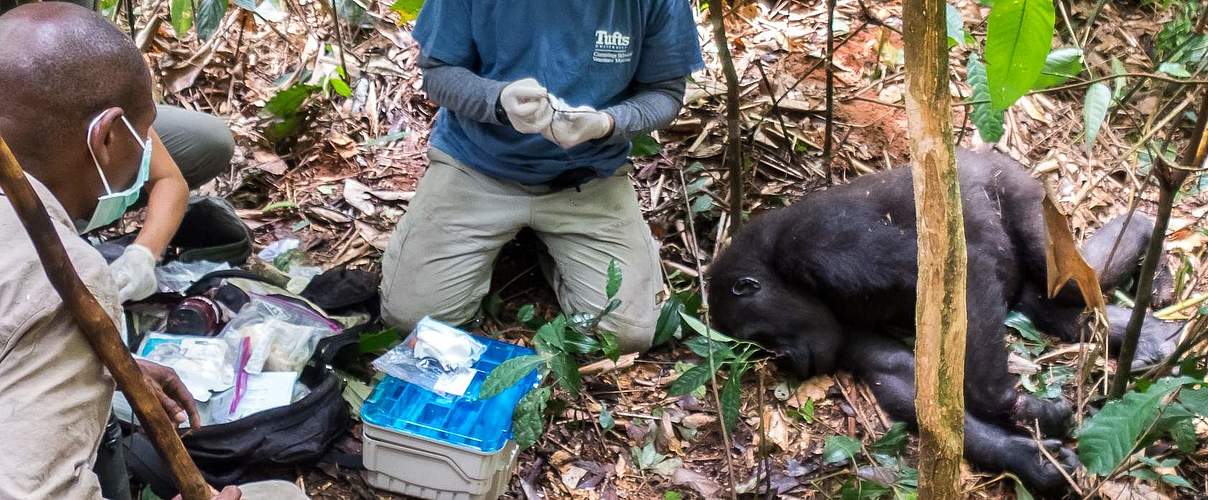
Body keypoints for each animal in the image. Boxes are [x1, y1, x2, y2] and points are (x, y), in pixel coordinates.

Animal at [705, 147, 1183, 492]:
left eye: (762, 337)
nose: (783, 359)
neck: (783, 273)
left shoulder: (819, 244)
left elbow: (963, 271)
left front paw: (1018, 408)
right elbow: (908, 380)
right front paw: (1028, 458)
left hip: (1016, 189)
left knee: (1071, 276)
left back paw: (1149, 240)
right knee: (1053, 303)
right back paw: (1150, 335)